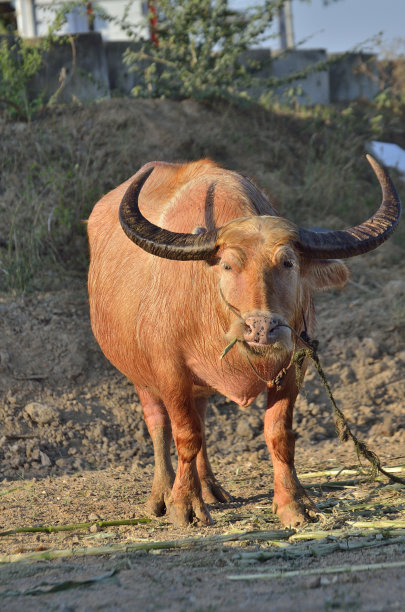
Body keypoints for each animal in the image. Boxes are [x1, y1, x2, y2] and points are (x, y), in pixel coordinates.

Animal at [87, 155, 400, 528]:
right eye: (227, 264)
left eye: (288, 262)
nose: (261, 329)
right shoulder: (170, 371)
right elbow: (184, 436)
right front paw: (184, 504)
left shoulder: (292, 370)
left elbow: (278, 435)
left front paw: (294, 504)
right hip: (140, 375)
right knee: (159, 425)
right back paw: (161, 494)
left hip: (198, 385)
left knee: (201, 421)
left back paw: (210, 488)